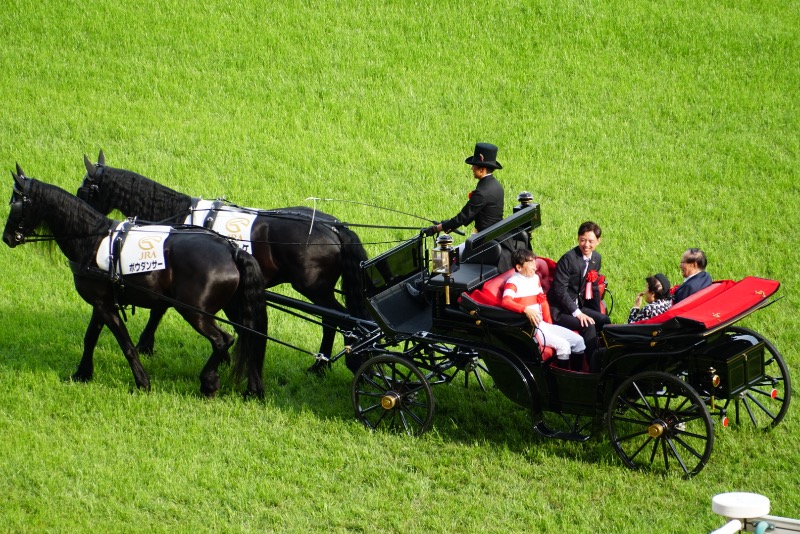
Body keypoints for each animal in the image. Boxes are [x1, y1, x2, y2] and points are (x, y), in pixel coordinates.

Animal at [3, 166, 268, 398]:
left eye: (15, 204)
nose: (6, 238)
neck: (92, 240)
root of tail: (231, 249)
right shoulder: (102, 303)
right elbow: (90, 338)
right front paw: (82, 374)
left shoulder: (104, 306)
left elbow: (126, 344)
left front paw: (142, 382)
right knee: (247, 338)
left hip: (195, 312)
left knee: (223, 340)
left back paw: (209, 382)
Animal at [76, 150, 370, 372]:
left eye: (85, 189)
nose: (87, 219)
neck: (178, 216)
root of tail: (334, 227)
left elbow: (160, 309)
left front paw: (145, 344)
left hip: (315, 288)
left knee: (336, 319)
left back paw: (324, 363)